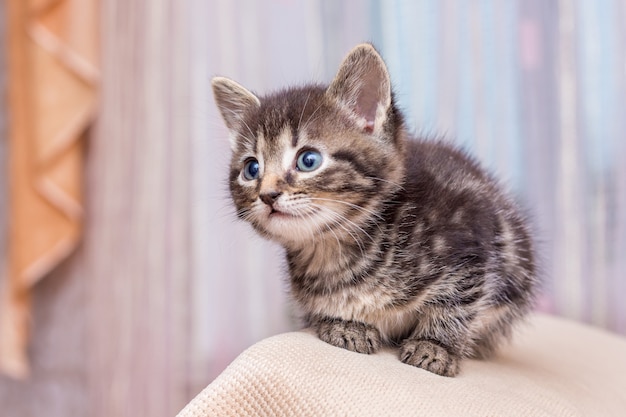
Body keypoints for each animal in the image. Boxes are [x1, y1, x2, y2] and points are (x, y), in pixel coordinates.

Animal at [212, 44, 532, 376]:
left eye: (308, 160)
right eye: (251, 168)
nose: (267, 195)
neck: (335, 250)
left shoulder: (468, 235)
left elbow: (457, 301)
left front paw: (436, 346)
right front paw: (344, 324)